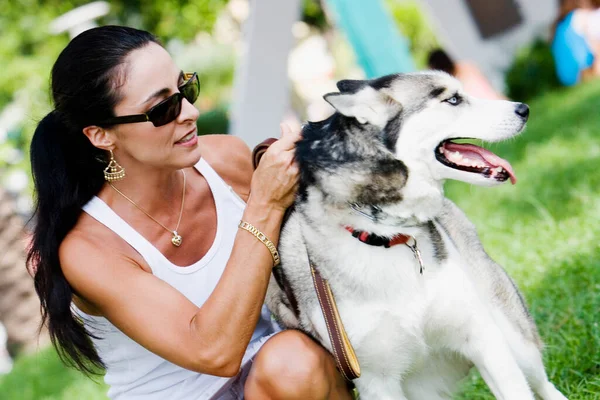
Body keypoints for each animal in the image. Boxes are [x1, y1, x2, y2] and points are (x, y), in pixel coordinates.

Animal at [266, 72, 568, 400]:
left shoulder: (483, 337)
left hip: (514, 336)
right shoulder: (377, 382)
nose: (523, 109)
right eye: (453, 99)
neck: (386, 234)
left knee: (542, 383)